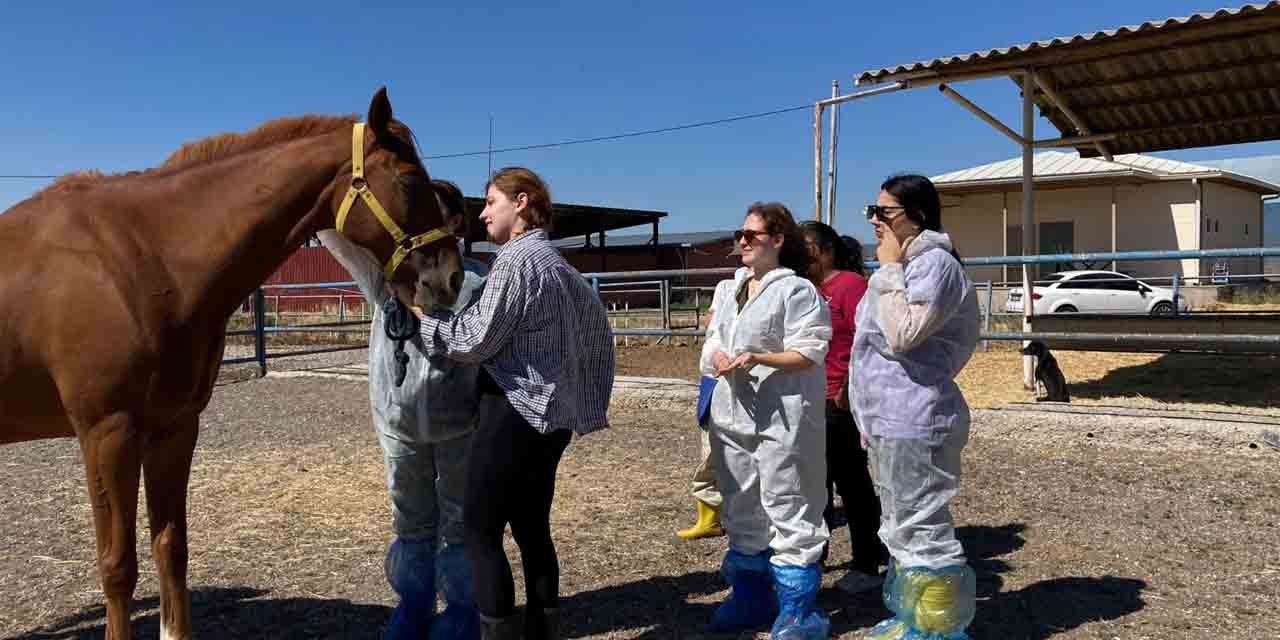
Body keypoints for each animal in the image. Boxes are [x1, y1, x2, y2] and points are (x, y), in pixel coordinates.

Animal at [0, 87, 460, 637]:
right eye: (410, 180)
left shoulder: (174, 428)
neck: (141, 259)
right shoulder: (106, 434)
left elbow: (170, 547)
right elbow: (117, 567)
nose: (451, 277)